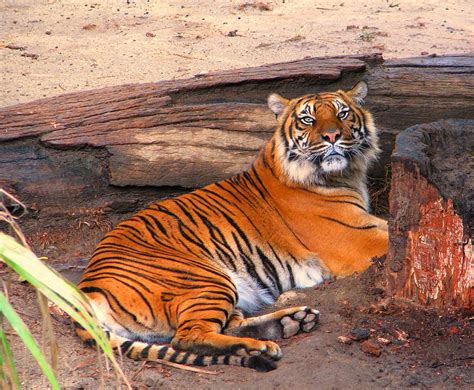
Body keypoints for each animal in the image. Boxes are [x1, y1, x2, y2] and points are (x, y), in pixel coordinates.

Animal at [77, 81, 388, 372]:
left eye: (342, 113)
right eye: (307, 119)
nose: (332, 136)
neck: (344, 175)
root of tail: (87, 289)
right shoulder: (356, 238)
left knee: (227, 324)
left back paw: (291, 321)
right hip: (205, 279)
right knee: (188, 337)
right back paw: (256, 347)